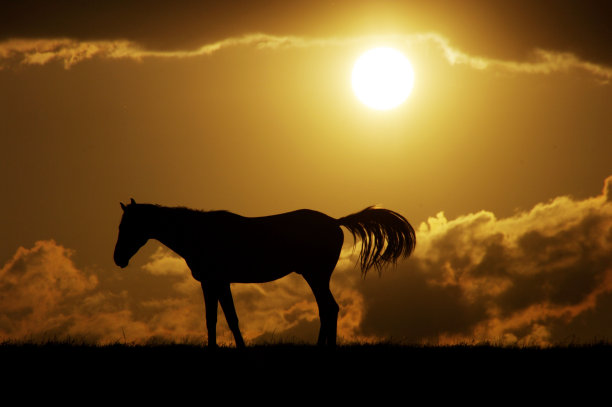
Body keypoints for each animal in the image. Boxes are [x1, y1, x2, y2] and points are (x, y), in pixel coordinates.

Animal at [113, 199, 416, 346]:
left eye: (127, 226)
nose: (118, 259)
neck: (199, 233)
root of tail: (335, 221)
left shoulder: (218, 281)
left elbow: (228, 319)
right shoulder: (212, 283)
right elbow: (216, 319)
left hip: (315, 275)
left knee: (329, 308)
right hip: (316, 276)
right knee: (328, 309)